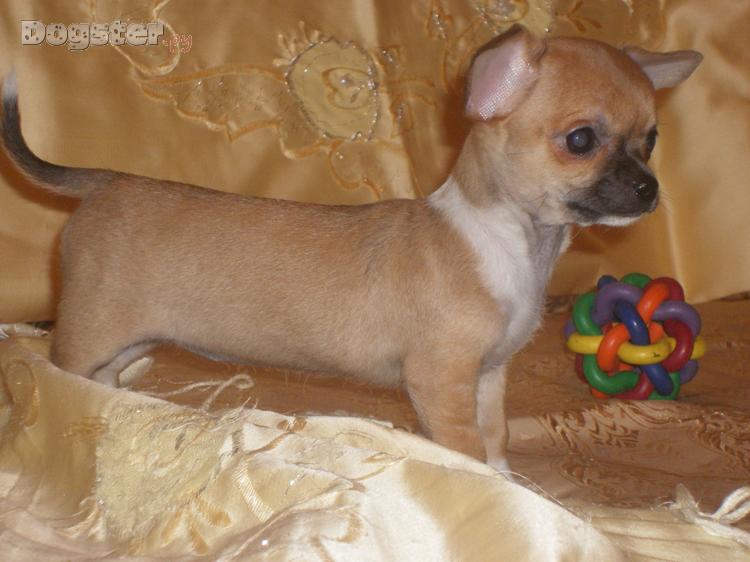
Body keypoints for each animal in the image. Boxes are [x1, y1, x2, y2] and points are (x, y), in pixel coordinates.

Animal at [1, 25, 701, 469]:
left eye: (652, 140)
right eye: (581, 141)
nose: (649, 190)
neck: (514, 243)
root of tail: (105, 180)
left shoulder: (488, 376)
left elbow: (496, 438)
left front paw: (511, 484)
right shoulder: (442, 380)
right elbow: (467, 449)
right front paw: (492, 494)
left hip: (128, 338)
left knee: (104, 376)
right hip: (88, 332)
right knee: (60, 370)